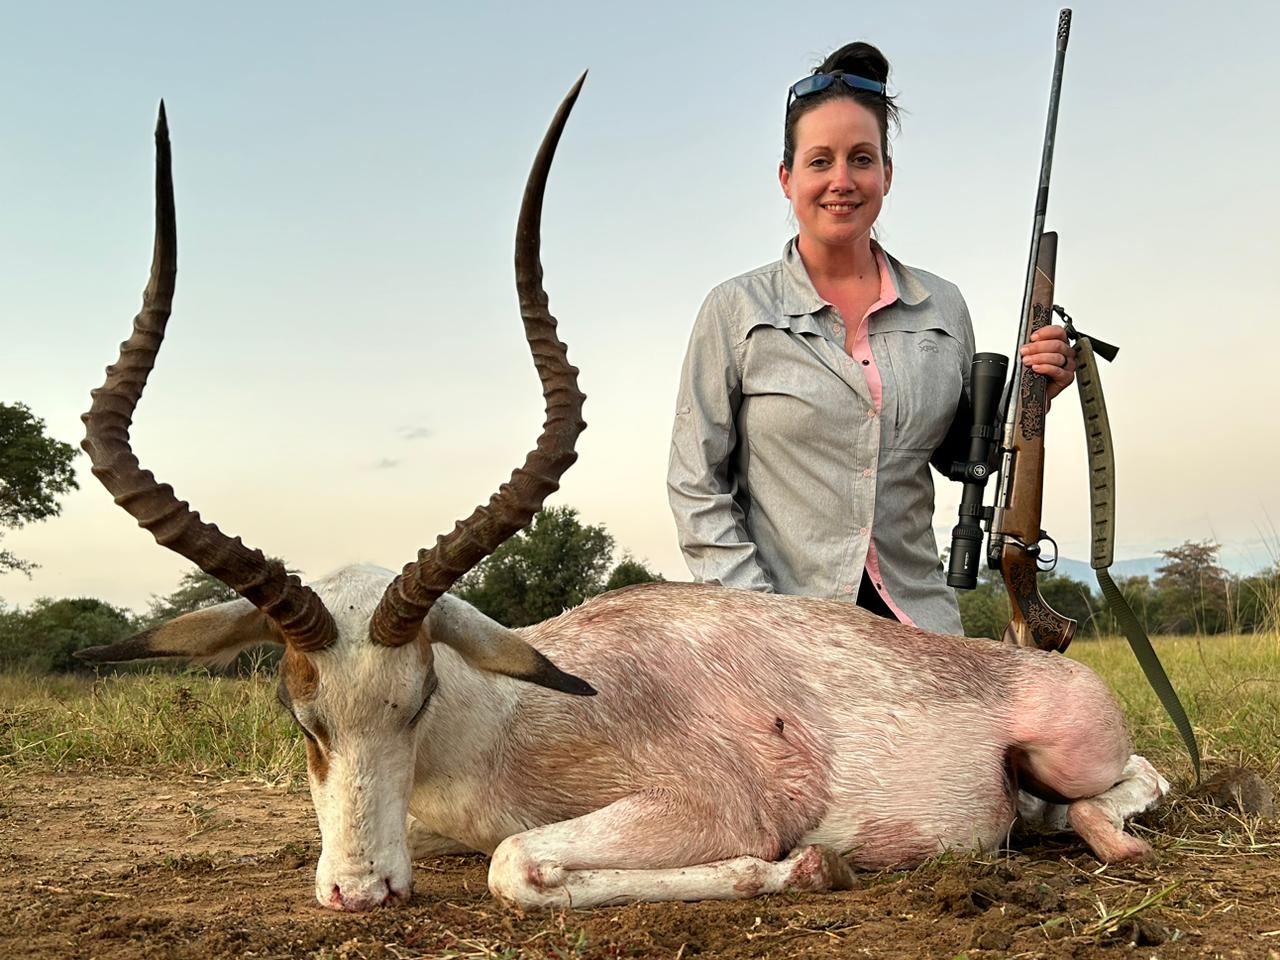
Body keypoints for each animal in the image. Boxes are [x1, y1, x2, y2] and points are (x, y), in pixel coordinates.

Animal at [78, 78, 1168, 912]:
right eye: (300, 714)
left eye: (417, 697)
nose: (356, 893)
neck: (512, 716)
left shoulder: (704, 805)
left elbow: (514, 865)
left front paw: (804, 865)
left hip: (1071, 750)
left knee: (1140, 778)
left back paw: (1108, 837)